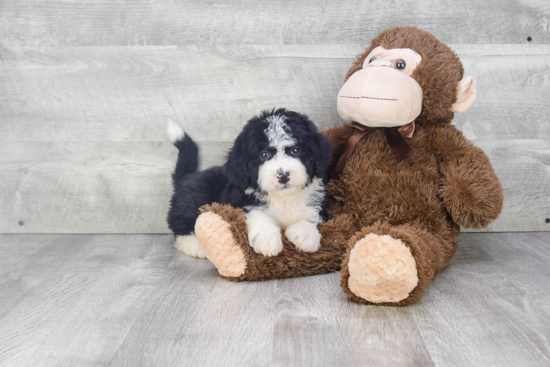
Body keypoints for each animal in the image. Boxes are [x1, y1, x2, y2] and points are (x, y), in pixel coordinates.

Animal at [167, 108, 332, 258]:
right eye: (264, 155)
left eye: (296, 151)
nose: (283, 176)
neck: (283, 198)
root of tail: (187, 177)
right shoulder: (241, 202)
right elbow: (258, 214)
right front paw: (267, 240)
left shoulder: (318, 203)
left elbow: (311, 216)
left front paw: (305, 234)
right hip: (193, 201)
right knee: (181, 227)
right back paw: (196, 246)